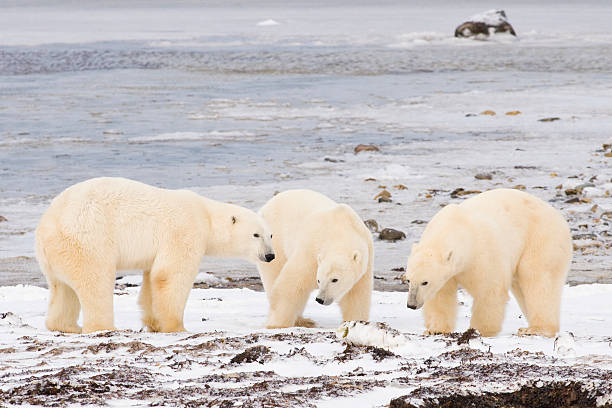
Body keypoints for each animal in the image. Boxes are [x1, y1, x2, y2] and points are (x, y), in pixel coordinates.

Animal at [33, 177, 272, 334]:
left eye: (270, 234)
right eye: (255, 234)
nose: (270, 255)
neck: (206, 215)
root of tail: (47, 225)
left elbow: (151, 278)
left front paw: (154, 323)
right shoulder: (184, 230)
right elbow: (171, 275)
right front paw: (177, 327)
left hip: (57, 255)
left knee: (62, 288)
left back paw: (68, 326)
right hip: (88, 239)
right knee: (96, 281)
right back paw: (103, 327)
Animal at [256, 190, 372, 328]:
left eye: (335, 280)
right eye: (319, 280)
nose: (320, 299)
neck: (340, 230)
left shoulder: (365, 263)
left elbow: (355, 296)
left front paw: (354, 323)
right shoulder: (311, 251)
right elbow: (291, 284)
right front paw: (277, 325)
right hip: (273, 241)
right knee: (274, 273)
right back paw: (302, 320)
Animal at [404, 188, 572, 338]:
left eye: (425, 282)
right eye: (408, 280)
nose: (411, 305)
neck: (460, 227)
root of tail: (559, 217)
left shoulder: (483, 252)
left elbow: (489, 290)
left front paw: (479, 330)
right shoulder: (447, 272)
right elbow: (440, 296)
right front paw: (435, 329)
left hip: (541, 239)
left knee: (537, 278)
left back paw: (537, 329)